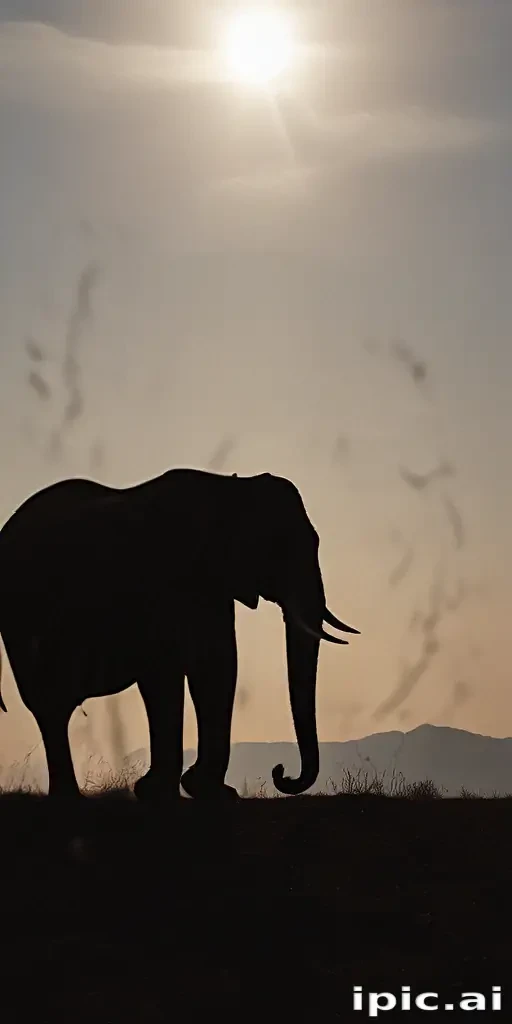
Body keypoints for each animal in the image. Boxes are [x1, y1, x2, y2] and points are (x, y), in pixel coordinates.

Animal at [0, 468, 359, 801]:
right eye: (277, 546)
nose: (280, 772)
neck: (229, 488)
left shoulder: (212, 584)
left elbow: (217, 663)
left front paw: (208, 791)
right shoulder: (164, 578)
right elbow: (167, 668)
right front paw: (161, 792)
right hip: (21, 617)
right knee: (49, 705)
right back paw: (69, 798)